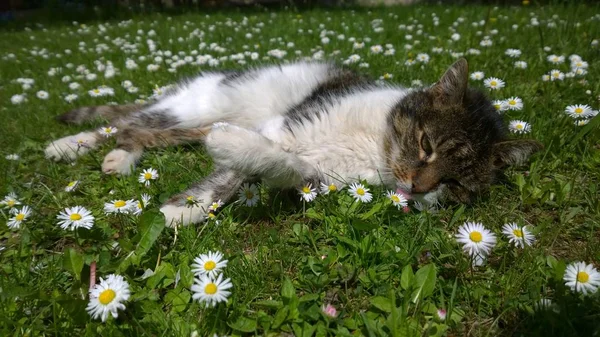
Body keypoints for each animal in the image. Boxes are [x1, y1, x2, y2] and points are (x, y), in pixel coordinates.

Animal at [45, 58, 544, 226]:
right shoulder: (283, 127)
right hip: (194, 109)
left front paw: (181, 208)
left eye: (456, 185)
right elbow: (231, 175)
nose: (419, 187)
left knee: (140, 129)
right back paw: (83, 147)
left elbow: (286, 166)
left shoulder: (319, 180)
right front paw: (183, 209)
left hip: (187, 124)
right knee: (127, 124)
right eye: (426, 144)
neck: (375, 148)